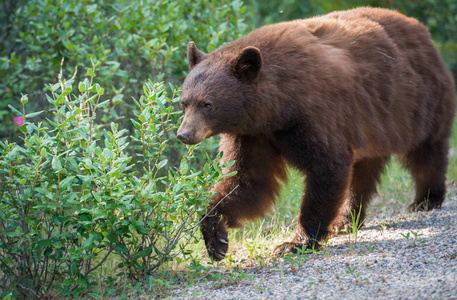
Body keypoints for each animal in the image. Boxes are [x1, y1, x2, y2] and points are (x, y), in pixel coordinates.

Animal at [176, 7, 454, 260]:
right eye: (184, 102)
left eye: (207, 104)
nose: (183, 134)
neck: (277, 106)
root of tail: (420, 28)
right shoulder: (252, 134)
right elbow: (248, 181)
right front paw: (216, 241)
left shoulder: (315, 113)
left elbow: (327, 167)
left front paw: (294, 243)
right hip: (372, 127)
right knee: (364, 170)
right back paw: (347, 219)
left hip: (417, 101)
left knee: (426, 151)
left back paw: (426, 199)